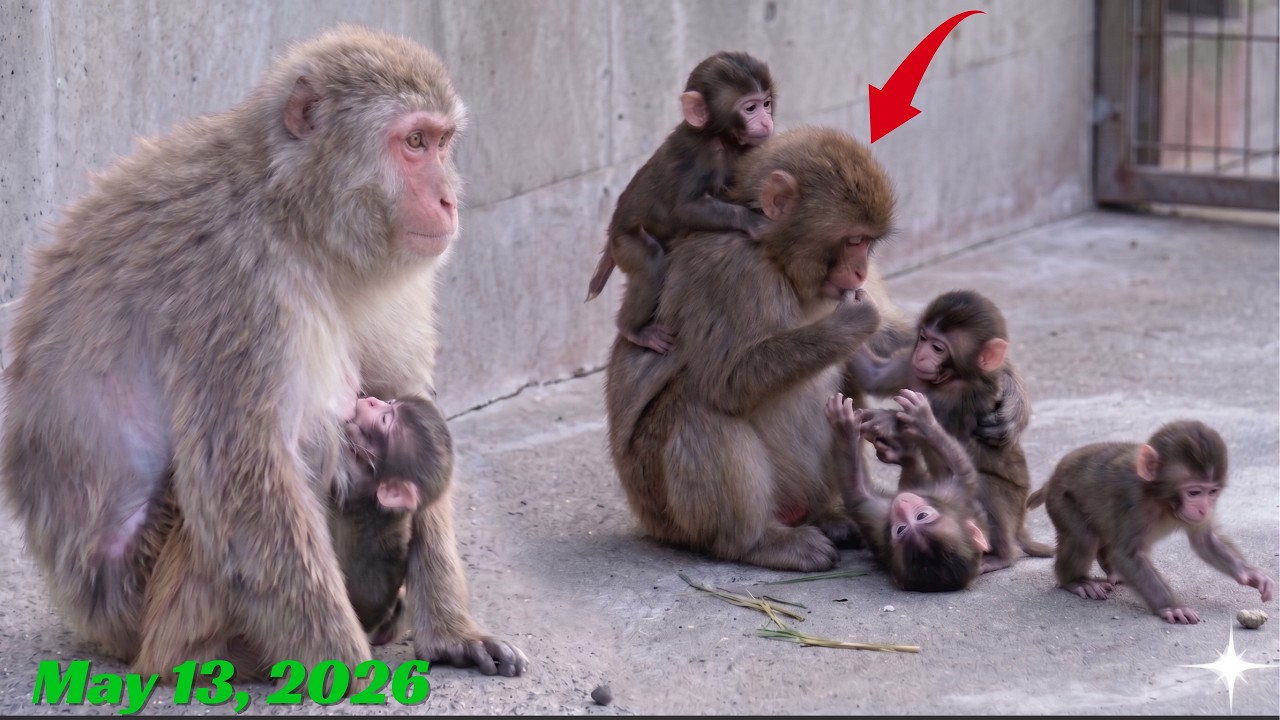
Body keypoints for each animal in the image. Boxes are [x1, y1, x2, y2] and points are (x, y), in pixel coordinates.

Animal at [585, 50, 775, 354]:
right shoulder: (701, 155)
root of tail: (612, 234)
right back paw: (632, 330)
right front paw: (756, 223)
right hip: (625, 243)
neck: (719, 137)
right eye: (750, 108)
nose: (767, 121)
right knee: (650, 259)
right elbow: (686, 209)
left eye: (766, 104)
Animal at [604, 126, 895, 572]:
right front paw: (852, 322)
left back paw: (830, 513)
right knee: (696, 405)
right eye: (853, 240)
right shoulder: (730, 270)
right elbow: (725, 381)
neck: (777, 260)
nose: (861, 270)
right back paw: (757, 542)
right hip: (661, 508)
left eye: (868, 245)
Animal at [826, 391, 990, 592]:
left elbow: (856, 494)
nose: (902, 507)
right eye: (921, 517)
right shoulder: (951, 499)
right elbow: (965, 472)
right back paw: (905, 454)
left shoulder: (879, 517)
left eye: (901, 529)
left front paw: (845, 427)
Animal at [851, 290, 1052, 573]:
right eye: (923, 338)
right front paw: (858, 307)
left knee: (983, 486)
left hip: (1013, 501)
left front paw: (893, 421)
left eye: (938, 348)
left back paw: (1003, 556)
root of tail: (1020, 525)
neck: (946, 380)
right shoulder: (908, 367)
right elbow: (872, 375)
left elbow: (943, 435)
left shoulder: (963, 398)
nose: (921, 355)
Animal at [1027, 420, 1275, 624]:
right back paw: (1076, 581)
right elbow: (1127, 554)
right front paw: (1171, 607)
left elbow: (1205, 540)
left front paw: (1251, 575)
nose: (1204, 509)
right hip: (1061, 499)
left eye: (1212, 491)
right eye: (1194, 492)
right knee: (1083, 538)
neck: (1160, 498)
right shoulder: (1135, 501)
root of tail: (1051, 479)